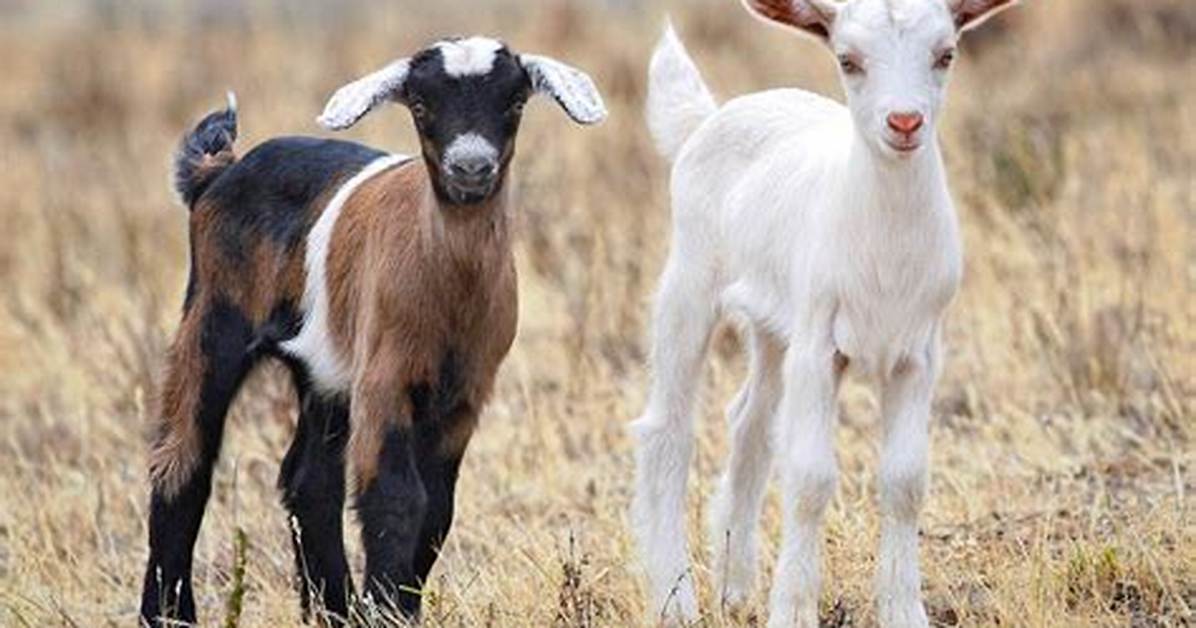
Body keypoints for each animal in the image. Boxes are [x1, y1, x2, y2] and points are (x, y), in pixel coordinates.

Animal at [140, 36, 605, 626]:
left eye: (516, 102)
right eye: (422, 106)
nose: (470, 167)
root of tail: (216, 175)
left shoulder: (466, 393)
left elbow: (438, 508)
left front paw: (394, 607)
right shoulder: (385, 376)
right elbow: (397, 496)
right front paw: (385, 607)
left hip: (325, 372)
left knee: (308, 481)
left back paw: (332, 610)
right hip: (212, 318)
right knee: (182, 462)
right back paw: (168, 613)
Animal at [630, 1, 1019, 626]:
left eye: (946, 54)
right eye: (847, 60)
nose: (904, 122)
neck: (886, 250)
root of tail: (705, 120)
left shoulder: (917, 354)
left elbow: (906, 481)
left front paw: (904, 610)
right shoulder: (819, 348)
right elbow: (810, 480)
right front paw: (793, 611)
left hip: (772, 322)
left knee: (749, 424)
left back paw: (735, 587)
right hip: (689, 279)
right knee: (667, 431)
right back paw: (676, 599)